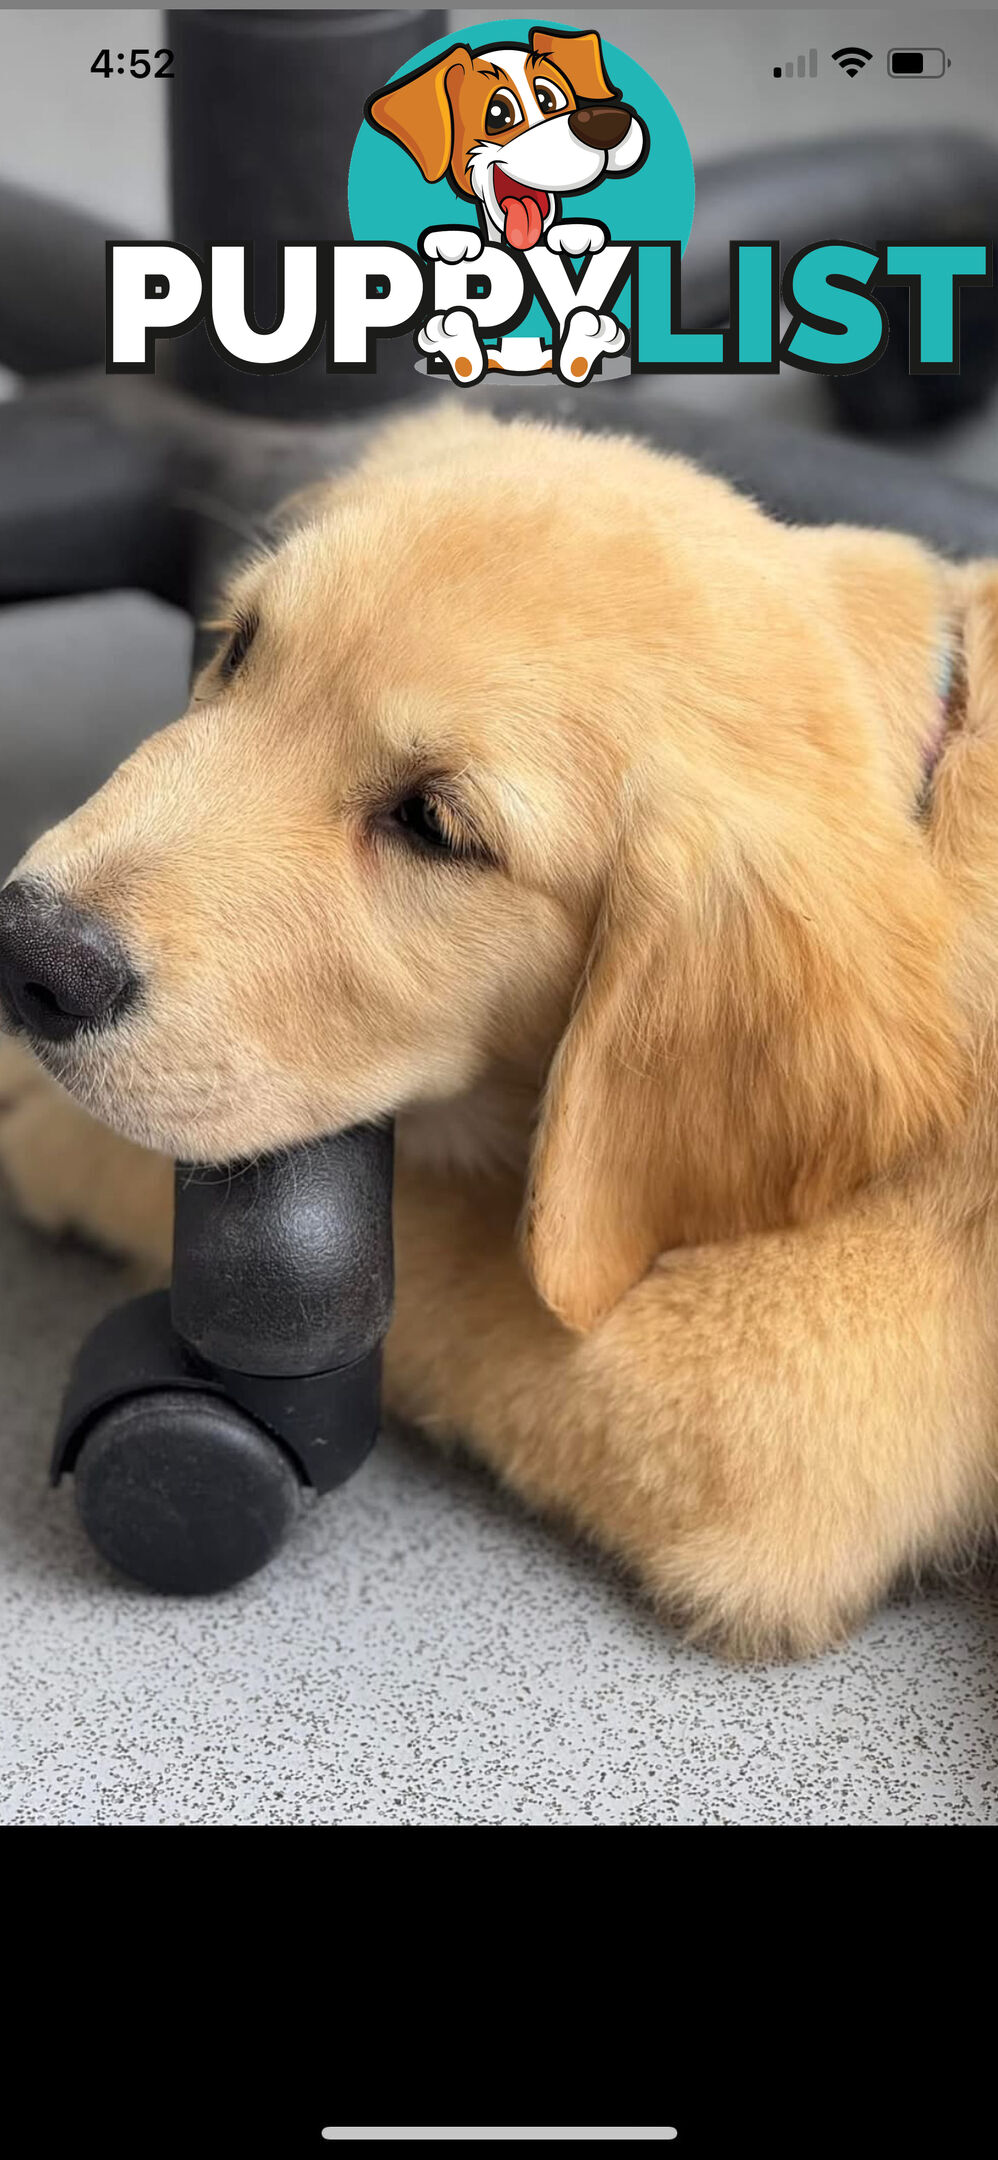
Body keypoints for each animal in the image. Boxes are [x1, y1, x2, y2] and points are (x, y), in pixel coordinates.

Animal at [1, 408, 998, 1650]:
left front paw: (48, 1129)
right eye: (237, 651)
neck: (931, 788)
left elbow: (443, 1246)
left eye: (433, 826)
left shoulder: (770, 1407)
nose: (29, 954)